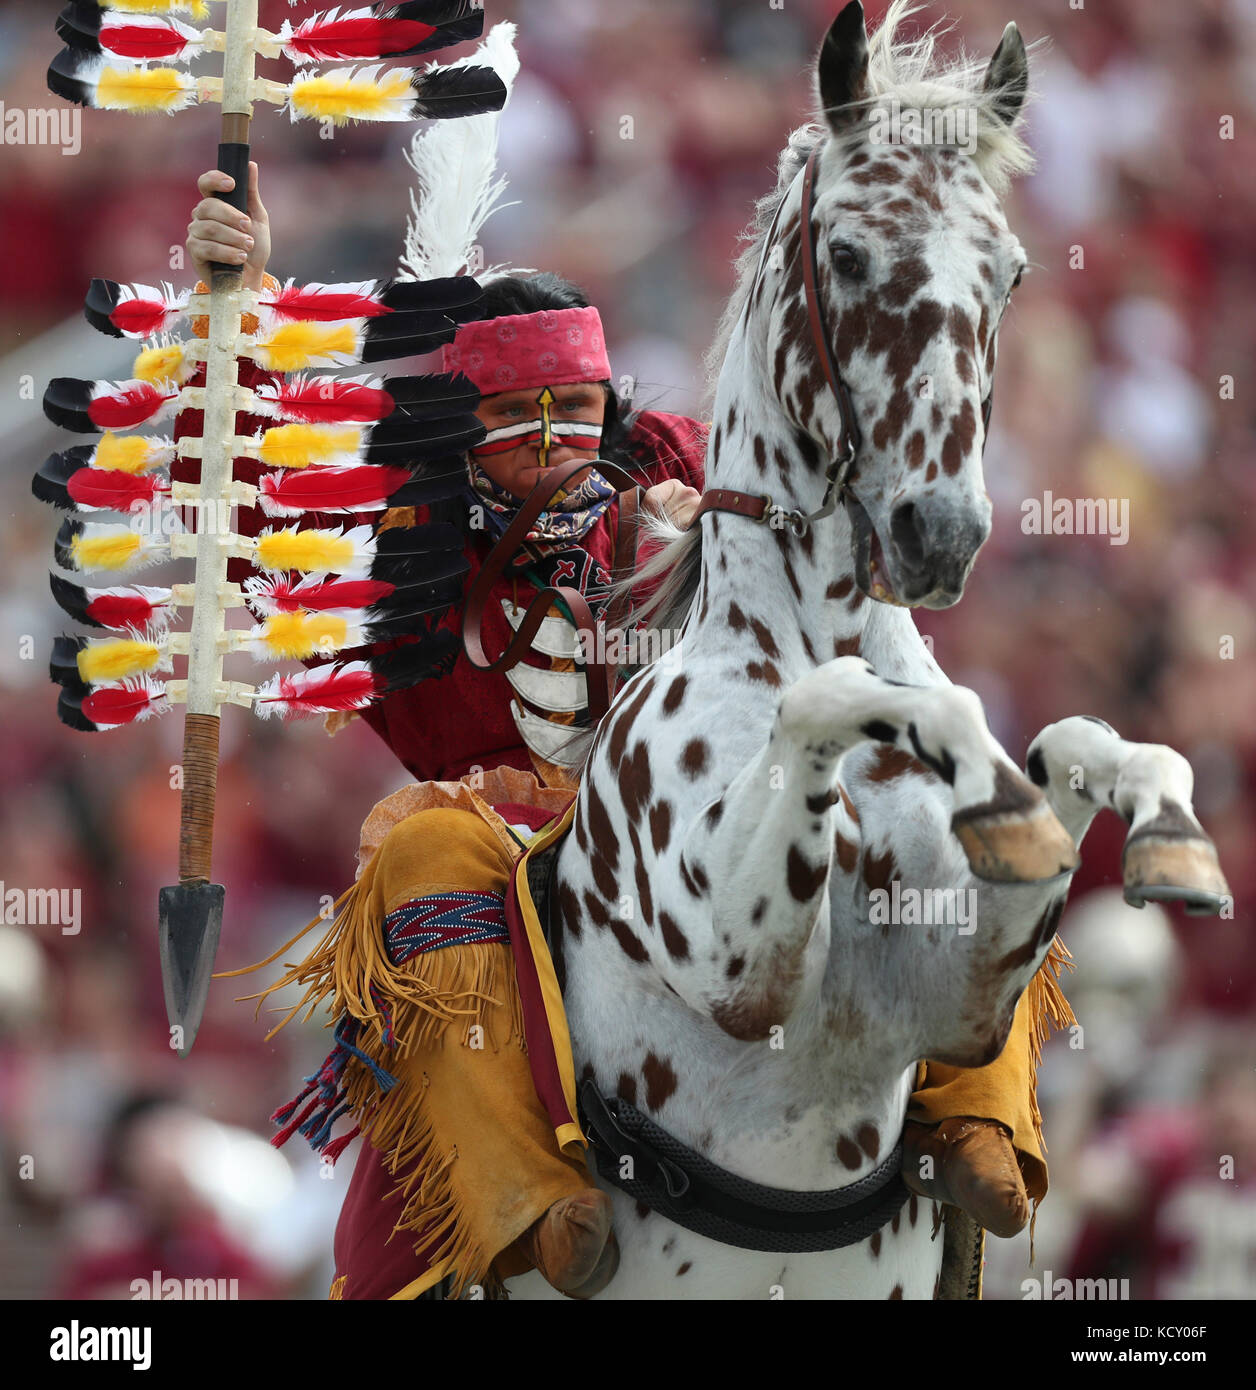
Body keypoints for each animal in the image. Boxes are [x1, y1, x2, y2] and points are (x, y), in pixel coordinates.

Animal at [511, 2, 1228, 1301]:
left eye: (1010, 270)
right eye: (844, 255)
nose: (937, 533)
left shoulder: (952, 993)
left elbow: (1084, 744)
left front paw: (1154, 832)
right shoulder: (735, 961)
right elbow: (845, 700)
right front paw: (980, 773)